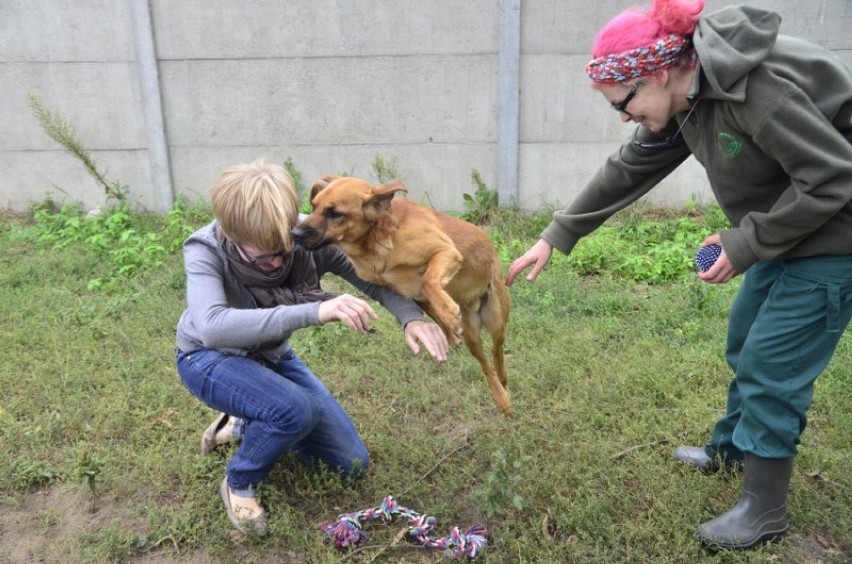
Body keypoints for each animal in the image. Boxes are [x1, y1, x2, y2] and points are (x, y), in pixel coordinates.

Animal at [292, 176, 512, 414]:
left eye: (334, 213)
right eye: (314, 206)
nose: (294, 234)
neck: (375, 241)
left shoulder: (445, 252)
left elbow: (428, 280)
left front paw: (447, 312)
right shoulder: (407, 292)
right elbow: (430, 306)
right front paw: (449, 327)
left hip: (496, 320)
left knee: (497, 350)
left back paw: (502, 384)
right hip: (473, 335)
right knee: (485, 364)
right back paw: (499, 392)